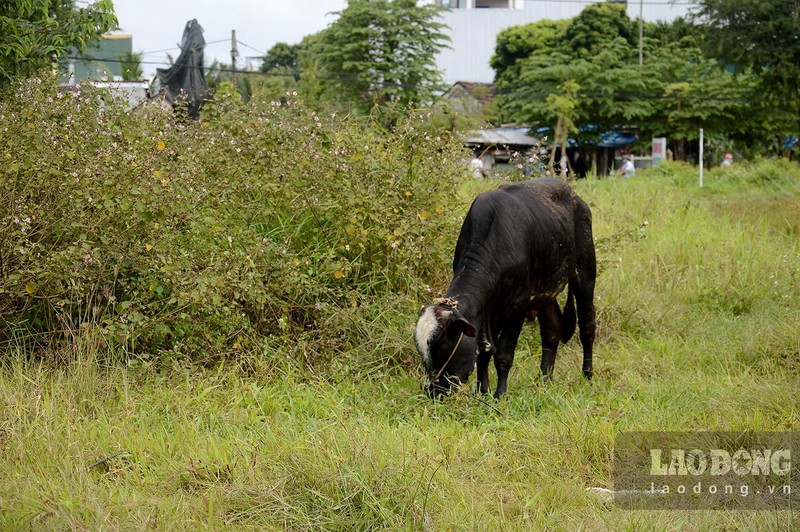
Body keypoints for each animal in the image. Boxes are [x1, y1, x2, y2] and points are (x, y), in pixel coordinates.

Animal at [418, 179, 592, 400]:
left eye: (443, 346)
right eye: (421, 350)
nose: (433, 391)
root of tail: (576, 198)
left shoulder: (518, 305)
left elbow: (503, 355)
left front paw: (500, 394)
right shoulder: (487, 311)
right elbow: (484, 352)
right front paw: (482, 391)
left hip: (585, 272)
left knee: (587, 326)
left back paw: (588, 375)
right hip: (546, 292)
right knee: (552, 331)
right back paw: (543, 380)